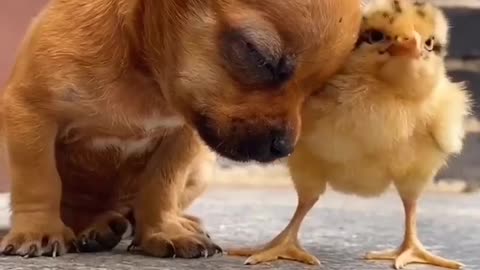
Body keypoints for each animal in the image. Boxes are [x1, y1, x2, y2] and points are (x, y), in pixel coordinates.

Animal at [0, 0, 360, 258]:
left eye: (317, 90)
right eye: (258, 56)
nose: (284, 147)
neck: (144, 76)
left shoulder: (182, 138)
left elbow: (162, 186)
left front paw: (163, 230)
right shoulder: (31, 113)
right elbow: (40, 181)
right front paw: (37, 230)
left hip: (202, 166)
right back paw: (95, 227)